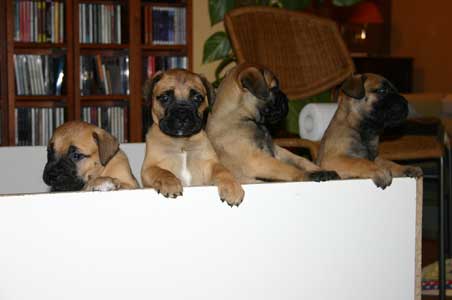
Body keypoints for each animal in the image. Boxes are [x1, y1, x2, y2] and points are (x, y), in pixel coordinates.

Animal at [141, 69, 245, 207]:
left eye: (197, 98)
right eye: (165, 98)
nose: (182, 116)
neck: (182, 142)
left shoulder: (210, 164)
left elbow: (223, 171)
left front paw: (232, 187)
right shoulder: (148, 168)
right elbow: (162, 172)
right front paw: (169, 182)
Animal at [205, 63, 340, 183]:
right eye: (274, 88)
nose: (286, 98)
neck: (240, 117)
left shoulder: (276, 151)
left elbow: (300, 160)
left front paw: (320, 170)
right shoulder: (255, 159)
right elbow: (286, 168)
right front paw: (307, 175)